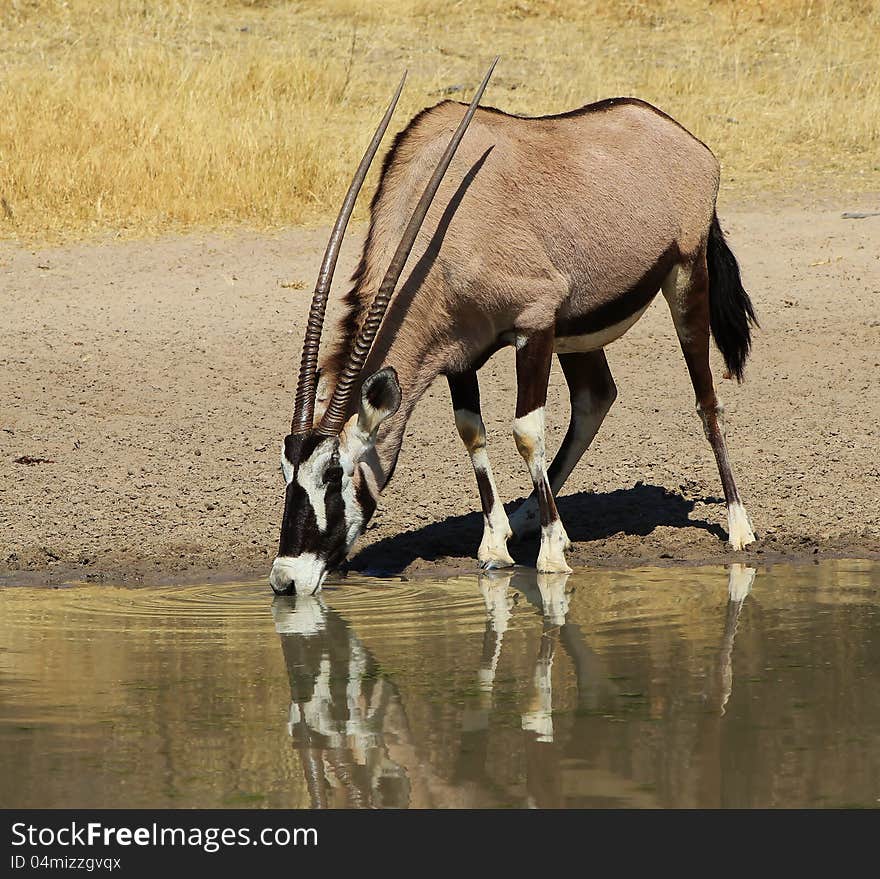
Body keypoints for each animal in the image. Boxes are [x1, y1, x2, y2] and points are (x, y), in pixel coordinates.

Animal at [268, 60, 756, 600]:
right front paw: (497, 543)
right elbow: (471, 431)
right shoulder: (458, 356)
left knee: (705, 401)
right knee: (596, 396)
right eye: (287, 472)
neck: (443, 229)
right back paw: (524, 518)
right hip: (577, 330)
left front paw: (550, 555)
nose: (286, 578)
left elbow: (526, 431)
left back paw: (738, 526)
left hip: (685, 280)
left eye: (334, 473)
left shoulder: (534, 323)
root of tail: (687, 141)